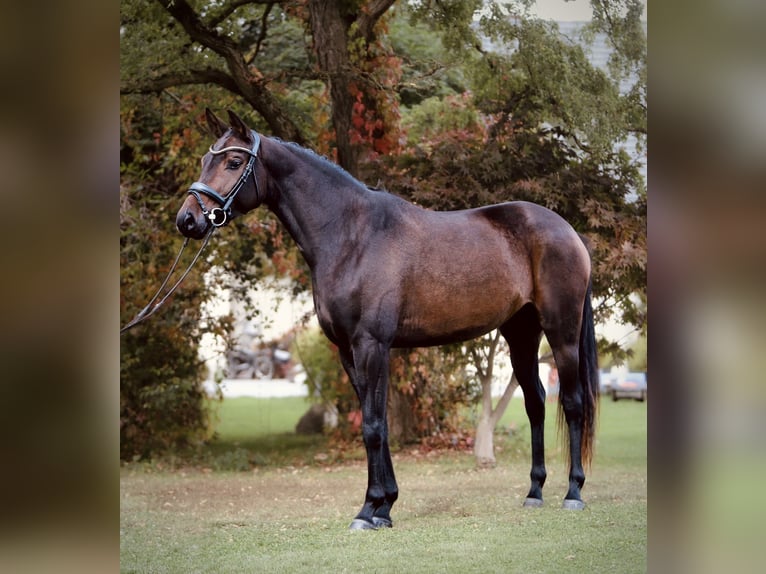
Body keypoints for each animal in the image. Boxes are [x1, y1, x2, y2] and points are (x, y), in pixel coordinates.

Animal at [176, 110, 600, 532]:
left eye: (233, 162)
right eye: (205, 159)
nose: (188, 220)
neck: (351, 236)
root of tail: (569, 232)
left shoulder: (371, 345)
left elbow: (373, 427)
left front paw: (369, 509)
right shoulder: (348, 350)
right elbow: (374, 419)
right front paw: (384, 507)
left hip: (561, 333)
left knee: (573, 402)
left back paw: (573, 492)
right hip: (521, 334)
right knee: (536, 403)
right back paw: (535, 491)